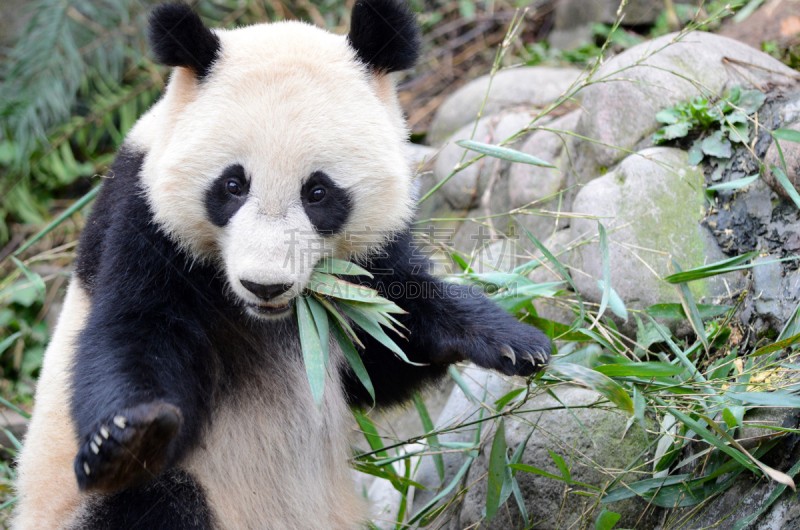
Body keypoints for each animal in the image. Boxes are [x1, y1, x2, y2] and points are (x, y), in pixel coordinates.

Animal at [10, 2, 552, 524]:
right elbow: (130, 336)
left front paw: (513, 341)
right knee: (161, 500)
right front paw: (129, 437)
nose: (264, 285)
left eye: (318, 192)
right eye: (232, 185)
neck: (273, 319)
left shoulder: (363, 268)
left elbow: (387, 345)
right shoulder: (142, 226)